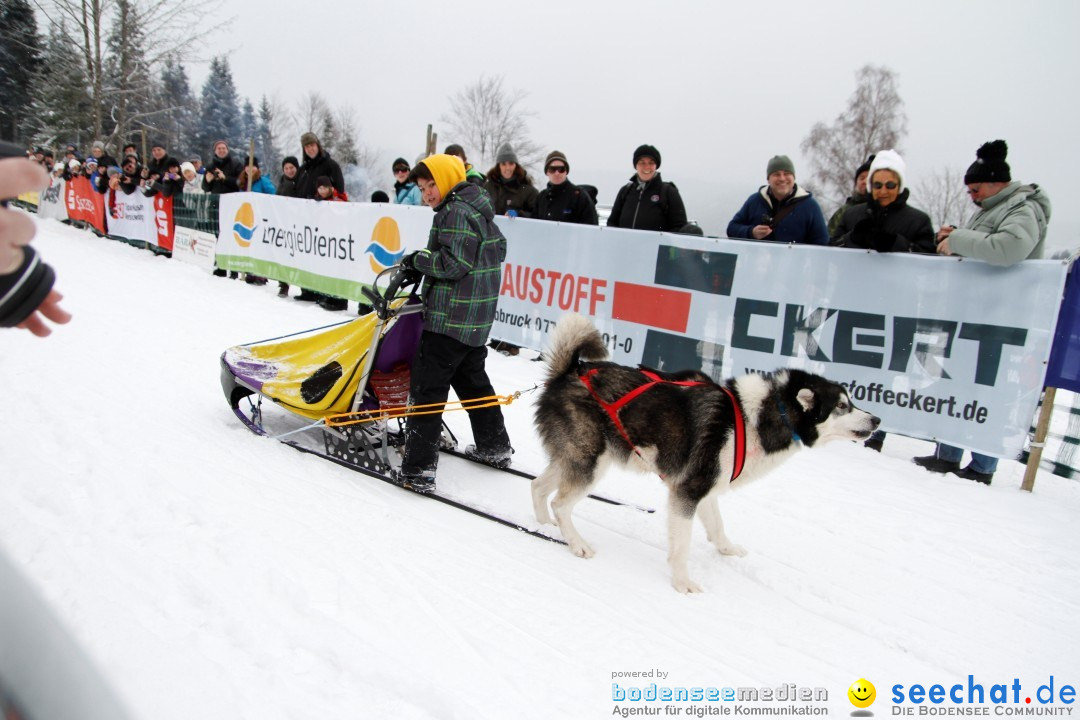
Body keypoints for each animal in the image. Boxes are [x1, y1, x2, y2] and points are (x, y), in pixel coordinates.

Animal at [531, 313, 876, 595]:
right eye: (842, 405)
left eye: (850, 402)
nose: (876, 420)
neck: (754, 418)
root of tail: (569, 372)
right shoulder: (688, 492)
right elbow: (682, 545)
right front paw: (683, 582)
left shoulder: (707, 487)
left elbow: (717, 525)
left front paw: (727, 549)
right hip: (591, 462)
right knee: (561, 503)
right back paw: (577, 543)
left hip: (574, 458)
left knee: (538, 486)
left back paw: (545, 525)